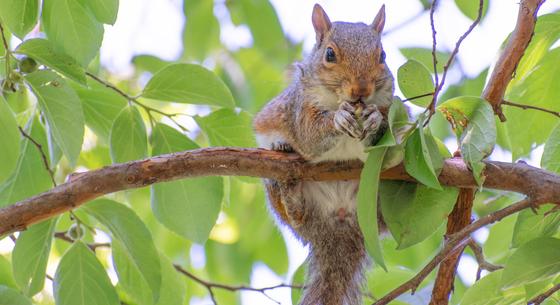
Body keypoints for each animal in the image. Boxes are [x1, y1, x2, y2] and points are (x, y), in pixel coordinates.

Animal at [254, 2, 394, 304]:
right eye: (330, 54)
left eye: (383, 55)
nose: (361, 90)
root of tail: (338, 225)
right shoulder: (300, 107)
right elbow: (310, 134)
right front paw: (338, 119)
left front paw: (375, 118)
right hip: (276, 190)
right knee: (297, 214)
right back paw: (289, 182)